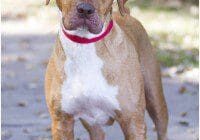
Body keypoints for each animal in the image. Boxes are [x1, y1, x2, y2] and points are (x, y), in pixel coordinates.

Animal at [44, 0, 168, 139]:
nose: (85, 9)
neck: (84, 45)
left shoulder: (133, 122)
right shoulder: (62, 122)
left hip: (155, 99)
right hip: (92, 123)